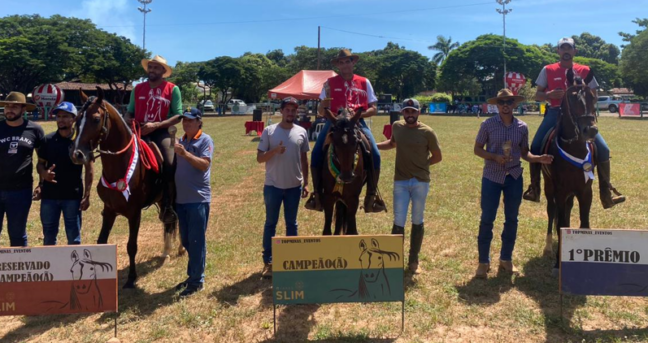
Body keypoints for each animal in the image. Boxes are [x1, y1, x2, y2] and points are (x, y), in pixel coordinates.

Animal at [71, 87, 181, 288]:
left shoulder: (134, 213)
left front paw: (131, 278)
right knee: (167, 222)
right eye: (77, 119)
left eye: (96, 119)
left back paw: (181, 248)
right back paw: (166, 252)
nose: (77, 154)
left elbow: (131, 246)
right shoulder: (109, 210)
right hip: (163, 201)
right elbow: (101, 242)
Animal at [320, 108, 368, 236]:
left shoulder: (353, 198)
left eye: (356, 140)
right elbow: (327, 231)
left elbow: (352, 230)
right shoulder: (328, 197)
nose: (346, 177)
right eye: (335, 141)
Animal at [540, 72, 600, 272]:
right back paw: (549, 247)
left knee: (567, 211)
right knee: (552, 212)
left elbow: (584, 223)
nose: (590, 130)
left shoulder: (585, 191)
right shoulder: (560, 191)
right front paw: (558, 263)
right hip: (549, 187)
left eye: (593, 97)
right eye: (573, 98)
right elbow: (560, 223)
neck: (574, 148)